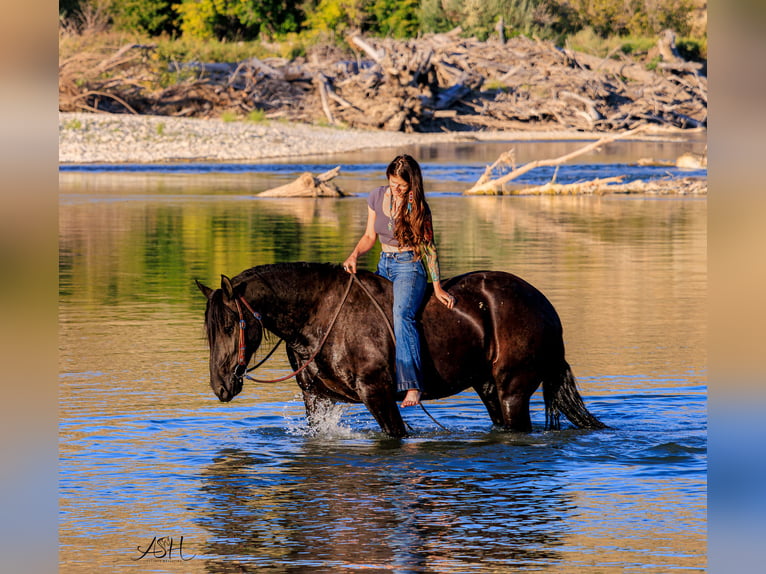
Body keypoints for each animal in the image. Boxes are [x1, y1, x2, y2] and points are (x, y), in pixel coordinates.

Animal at [196, 262, 606, 438]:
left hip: (513, 391)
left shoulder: (378, 395)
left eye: (230, 326)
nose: (221, 386)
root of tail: (544, 306)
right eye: (209, 331)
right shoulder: (317, 399)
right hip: (489, 389)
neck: (321, 314)